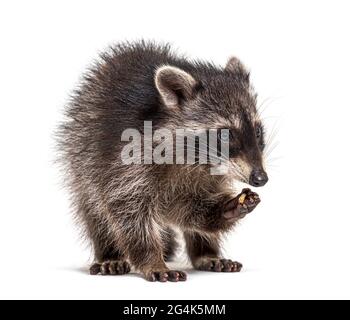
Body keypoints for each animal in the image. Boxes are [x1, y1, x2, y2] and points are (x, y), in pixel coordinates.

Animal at [57, 40, 268, 282]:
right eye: (225, 135)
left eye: (258, 131)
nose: (261, 178)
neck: (197, 161)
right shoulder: (124, 161)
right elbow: (128, 211)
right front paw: (152, 259)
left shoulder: (208, 176)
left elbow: (191, 207)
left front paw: (226, 209)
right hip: (81, 155)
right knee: (93, 208)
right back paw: (108, 253)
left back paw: (206, 252)